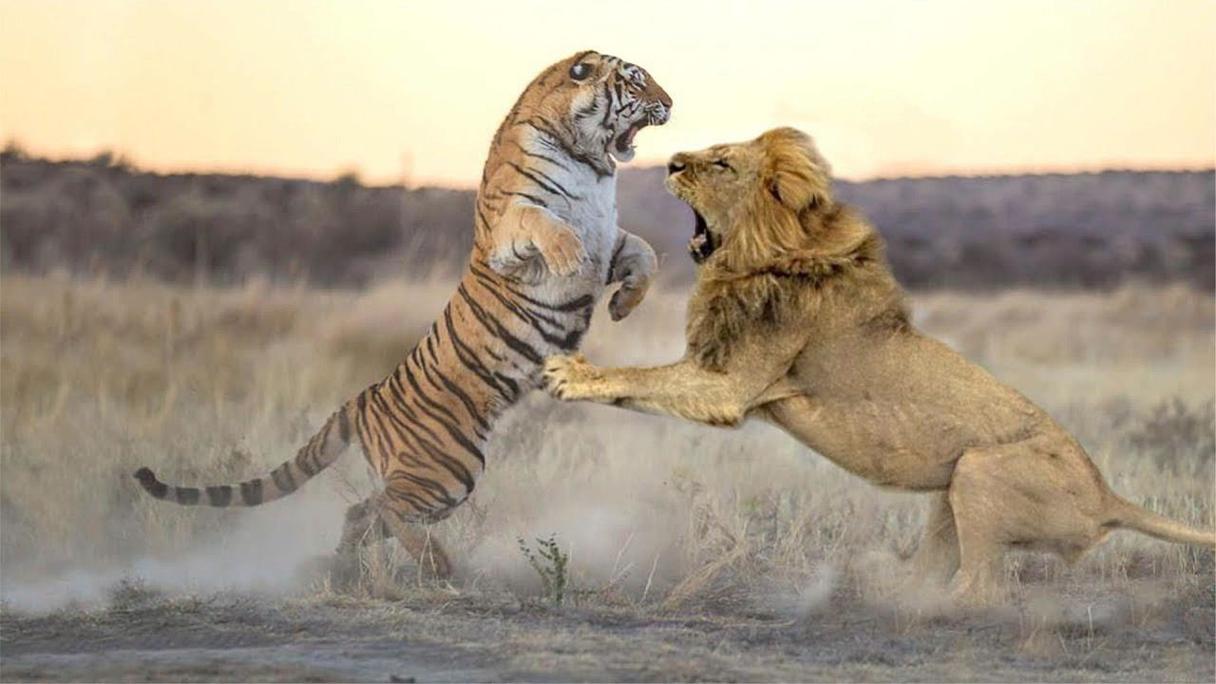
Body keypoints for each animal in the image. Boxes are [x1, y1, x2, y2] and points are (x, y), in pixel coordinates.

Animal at [134, 50, 672, 578]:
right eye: (635, 81)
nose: (671, 102)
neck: (590, 160)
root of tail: (363, 399)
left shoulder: (611, 238)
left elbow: (646, 254)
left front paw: (624, 304)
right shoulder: (508, 234)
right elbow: (542, 222)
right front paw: (568, 257)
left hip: (440, 477)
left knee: (363, 511)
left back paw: (346, 567)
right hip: (448, 468)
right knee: (386, 508)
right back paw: (437, 566)